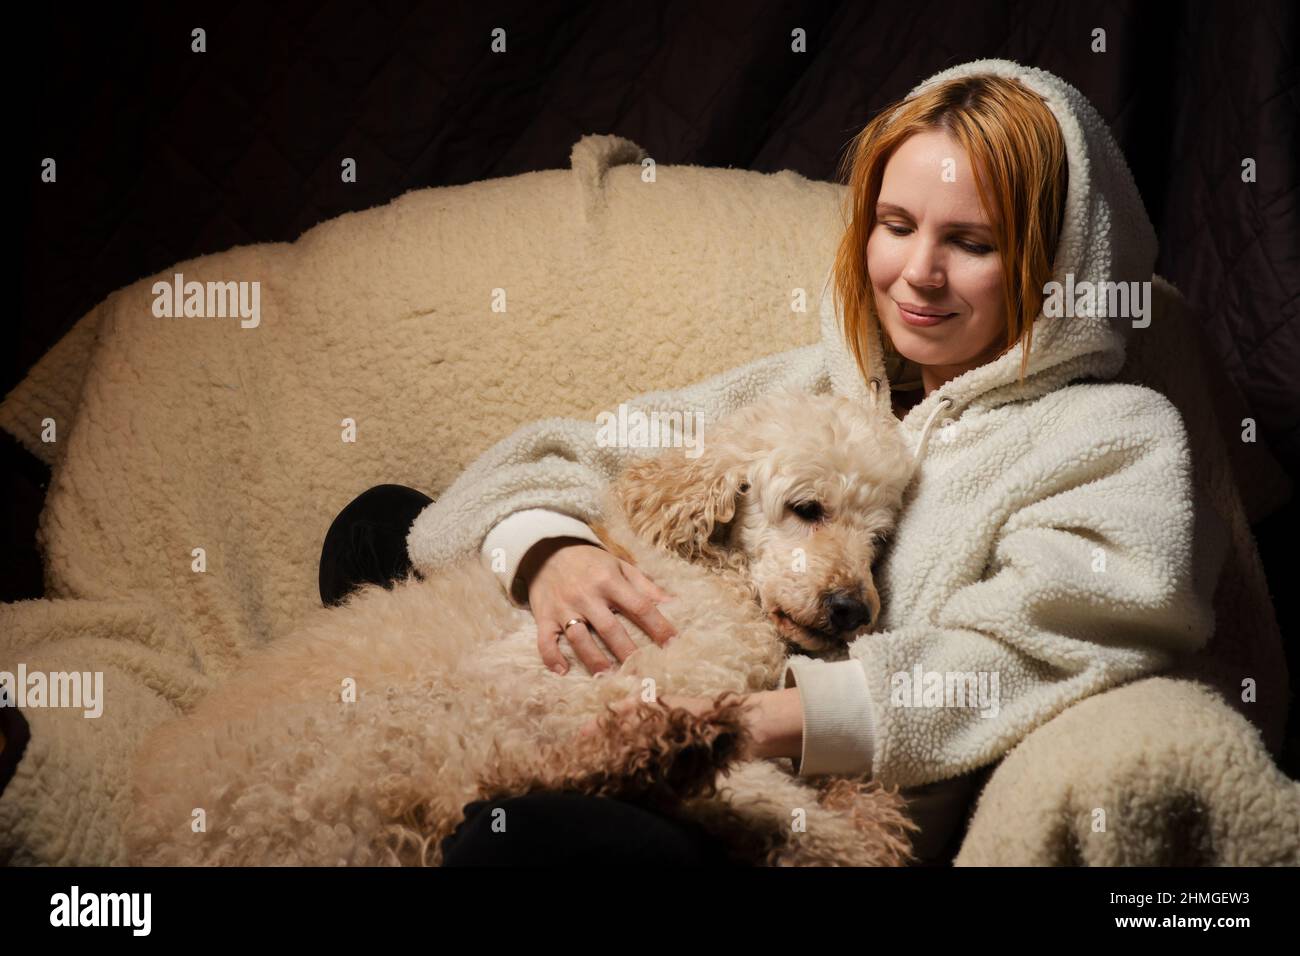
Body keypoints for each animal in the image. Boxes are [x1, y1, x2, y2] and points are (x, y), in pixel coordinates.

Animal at [122, 387, 915, 868]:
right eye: (807, 508)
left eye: (879, 539)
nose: (852, 609)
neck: (711, 571)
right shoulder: (583, 677)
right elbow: (769, 789)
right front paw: (843, 836)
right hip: (380, 743)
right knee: (522, 774)